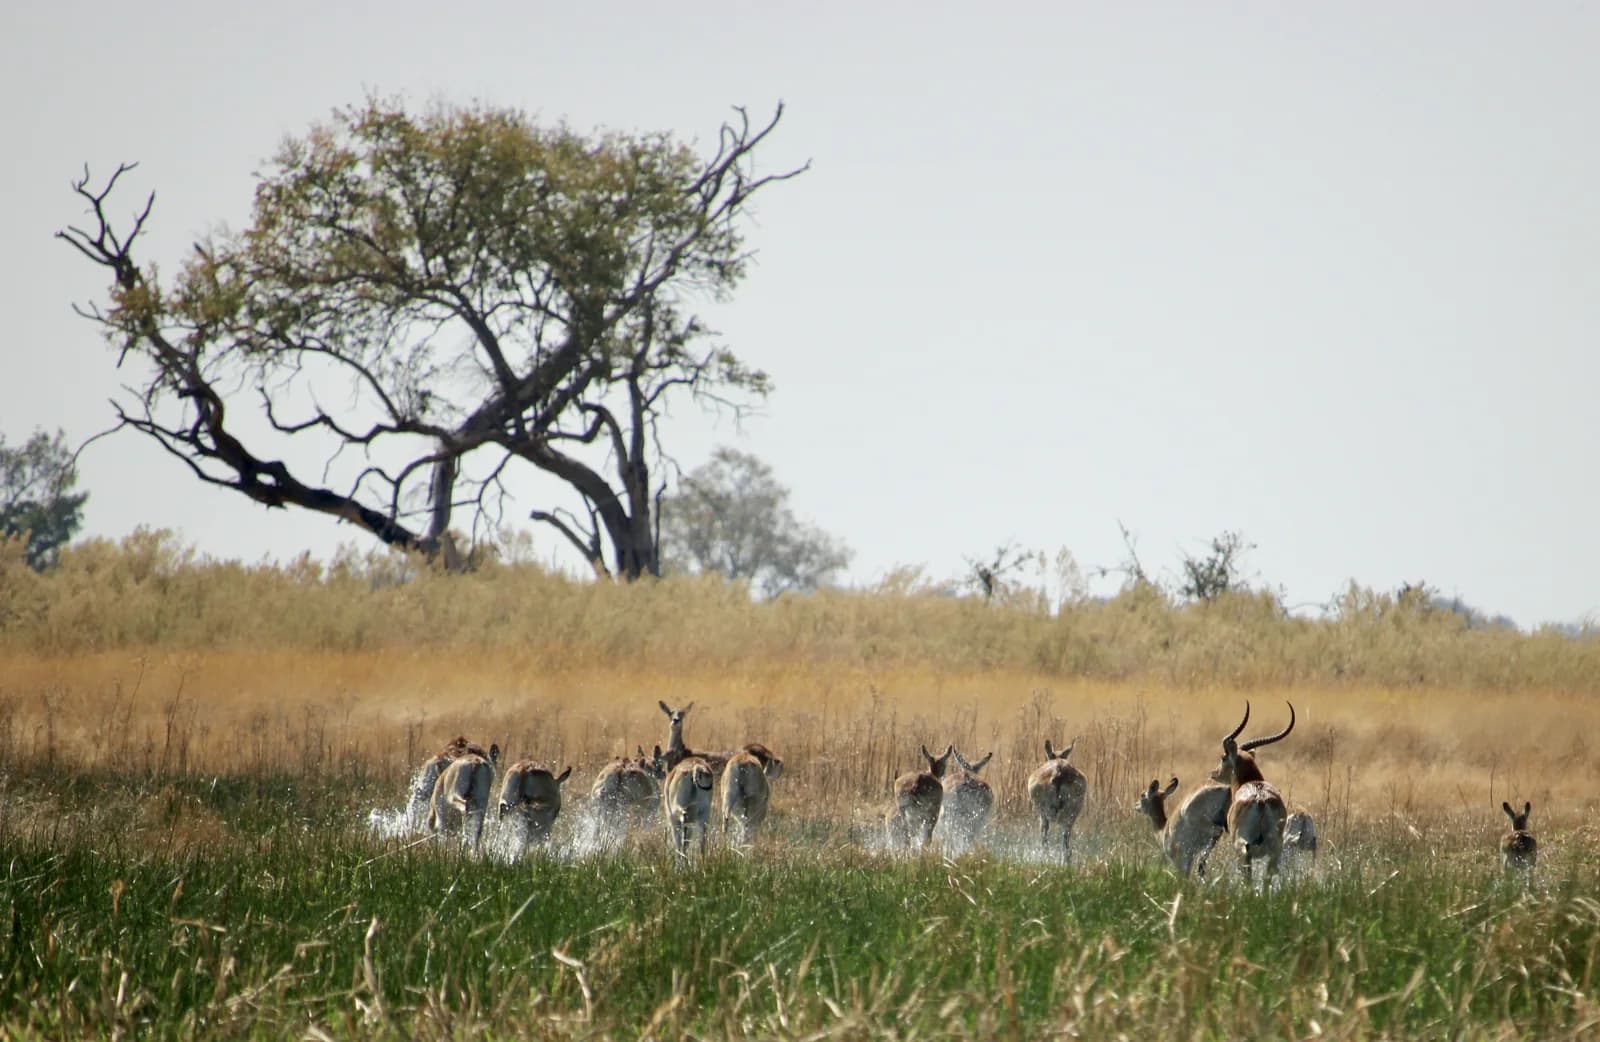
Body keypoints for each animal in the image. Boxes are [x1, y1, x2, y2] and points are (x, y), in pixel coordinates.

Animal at [1210, 702, 1296, 884]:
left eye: (1223, 757)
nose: (1214, 773)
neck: (1251, 783)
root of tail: (1261, 801)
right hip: (1276, 848)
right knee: (1267, 876)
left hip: (1242, 847)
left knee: (1248, 874)